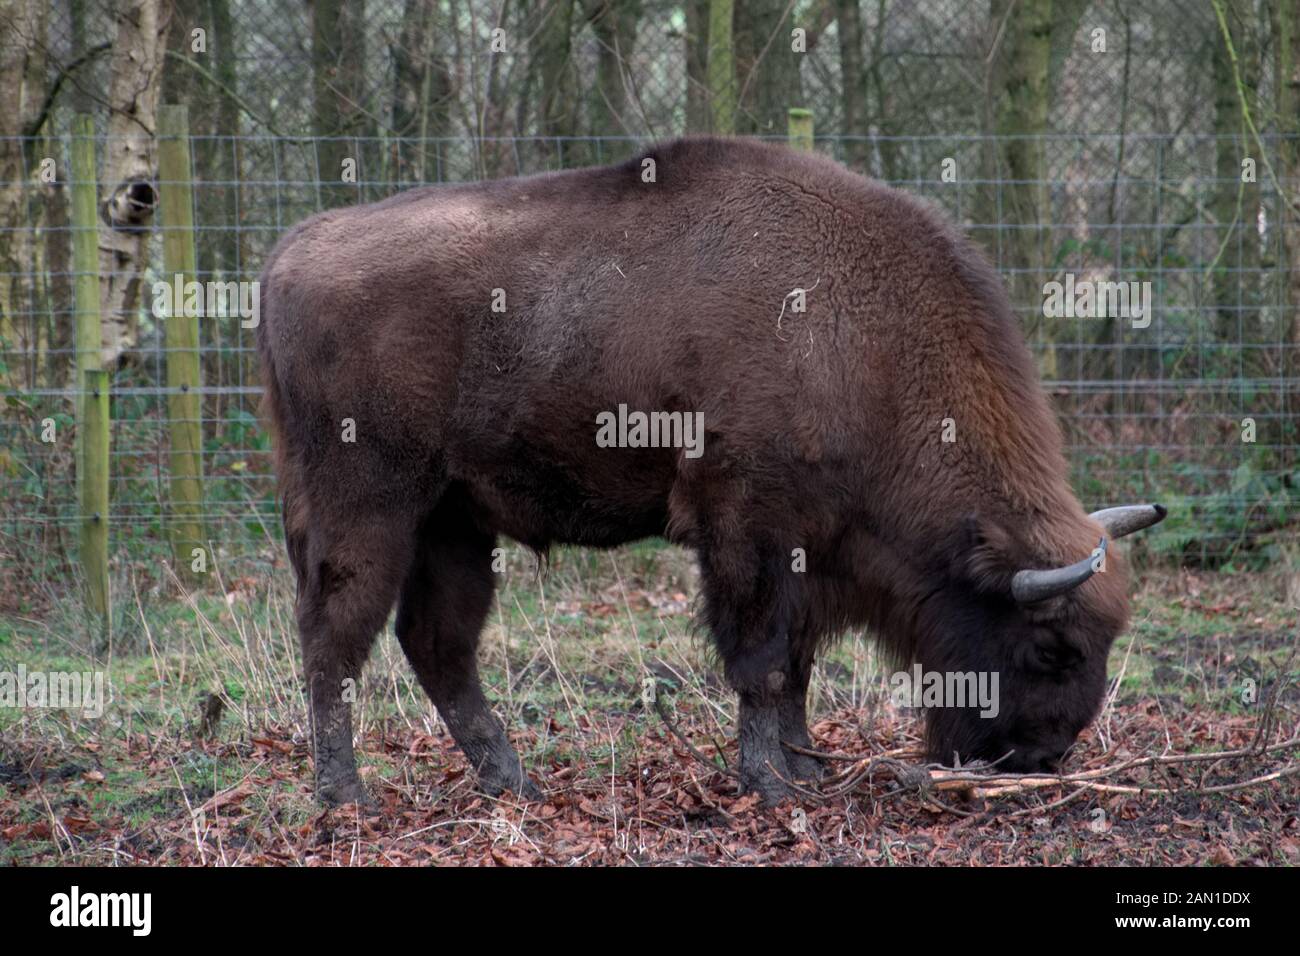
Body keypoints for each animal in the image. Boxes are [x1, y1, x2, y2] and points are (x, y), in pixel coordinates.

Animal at [257, 137, 1165, 805]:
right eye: (1051, 649)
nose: (1041, 757)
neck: (864, 342)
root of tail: (291, 251)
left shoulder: (809, 551)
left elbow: (796, 664)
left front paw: (804, 767)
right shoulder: (745, 526)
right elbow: (760, 658)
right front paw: (771, 782)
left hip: (454, 518)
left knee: (436, 641)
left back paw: (512, 783)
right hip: (368, 505)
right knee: (334, 636)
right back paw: (346, 796)